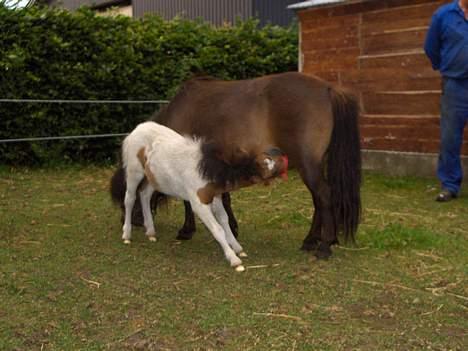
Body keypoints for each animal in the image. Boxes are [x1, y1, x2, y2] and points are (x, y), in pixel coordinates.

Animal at [119, 121, 288, 272]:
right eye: (267, 164)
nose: (279, 153)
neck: (208, 169)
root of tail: (136, 130)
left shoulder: (216, 197)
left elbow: (224, 220)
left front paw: (238, 248)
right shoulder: (199, 204)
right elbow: (217, 229)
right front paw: (234, 260)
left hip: (153, 178)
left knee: (144, 195)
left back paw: (151, 232)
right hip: (134, 172)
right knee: (130, 198)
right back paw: (126, 235)